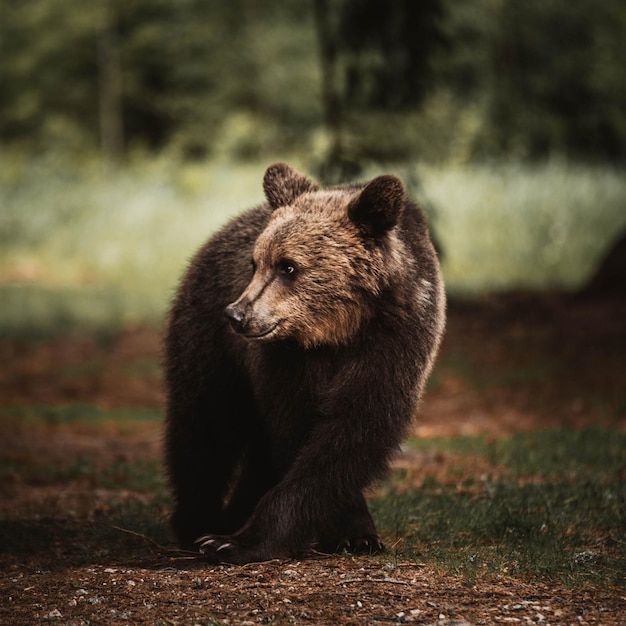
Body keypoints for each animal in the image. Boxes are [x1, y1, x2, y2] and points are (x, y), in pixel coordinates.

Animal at [162, 161, 444, 560]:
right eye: (255, 263)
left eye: (288, 267)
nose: (236, 314)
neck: (336, 330)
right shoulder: (286, 360)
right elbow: (297, 431)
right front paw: (229, 539)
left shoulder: (393, 342)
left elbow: (354, 432)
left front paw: (356, 535)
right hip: (208, 340)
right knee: (205, 424)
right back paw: (199, 521)